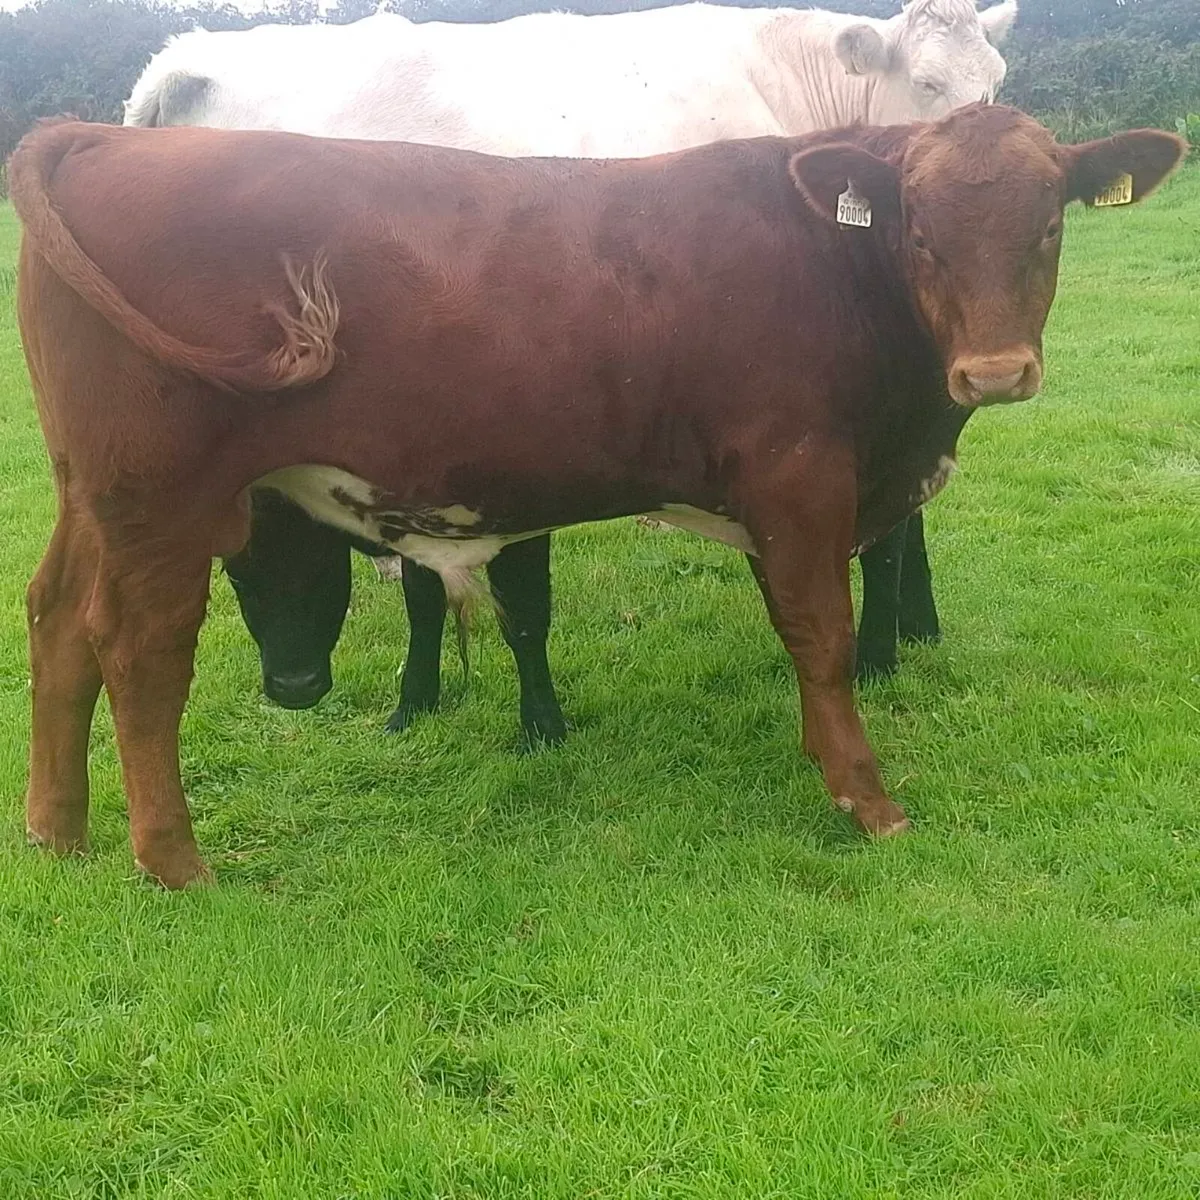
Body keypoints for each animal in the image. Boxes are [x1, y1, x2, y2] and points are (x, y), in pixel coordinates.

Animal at [13, 107, 1182, 887]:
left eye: (1049, 227)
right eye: (921, 232)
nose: (995, 372)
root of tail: (99, 136)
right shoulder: (801, 475)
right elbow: (825, 637)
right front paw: (867, 797)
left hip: (92, 495)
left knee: (56, 620)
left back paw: (56, 834)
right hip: (160, 500)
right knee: (139, 652)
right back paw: (173, 862)